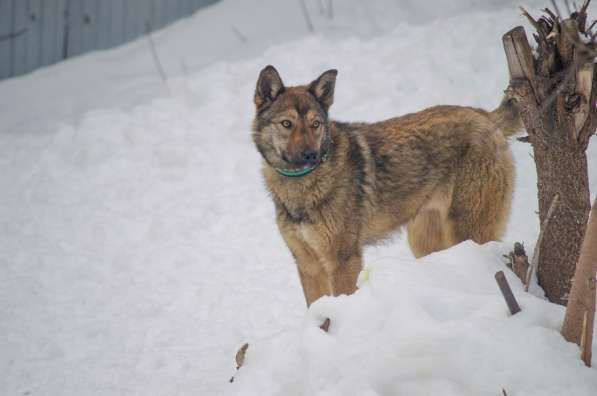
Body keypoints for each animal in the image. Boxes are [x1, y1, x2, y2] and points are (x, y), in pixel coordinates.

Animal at [249, 65, 520, 306]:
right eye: (287, 124)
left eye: (315, 124)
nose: (311, 155)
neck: (301, 188)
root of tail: (485, 116)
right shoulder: (308, 265)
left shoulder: (343, 261)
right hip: (425, 241)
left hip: (467, 234)